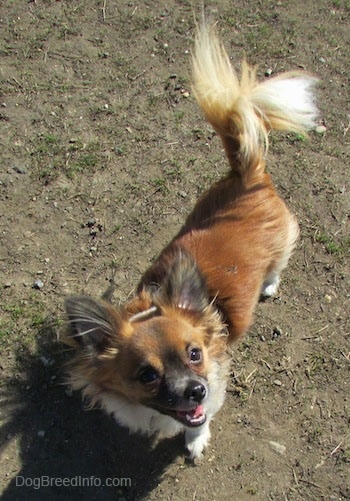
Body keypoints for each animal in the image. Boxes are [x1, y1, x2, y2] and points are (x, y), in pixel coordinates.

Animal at [63, 21, 318, 458]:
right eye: (147, 375)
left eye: (195, 354)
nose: (195, 390)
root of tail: (247, 174)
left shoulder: (215, 385)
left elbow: (202, 420)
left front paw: (196, 440)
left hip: (282, 244)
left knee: (280, 262)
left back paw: (269, 284)